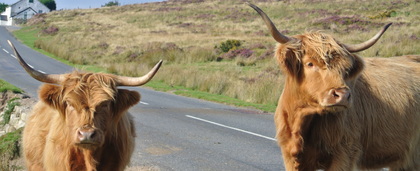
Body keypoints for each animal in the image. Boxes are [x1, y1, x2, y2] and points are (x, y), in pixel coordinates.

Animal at [249, 3, 420, 171]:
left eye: (345, 69)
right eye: (310, 63)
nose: (342, 95)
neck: (302, 120)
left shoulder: (345, 153)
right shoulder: (291, 156)